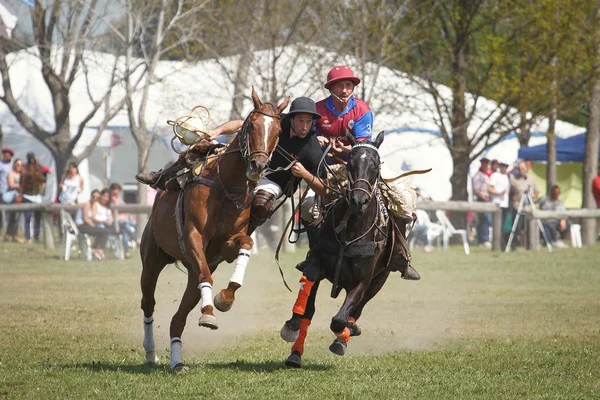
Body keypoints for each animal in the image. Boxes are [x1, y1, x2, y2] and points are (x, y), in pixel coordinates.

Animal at [141, 88, 290, 372]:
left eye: (278, 130)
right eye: (251, 124)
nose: (257, 166)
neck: (226, 185)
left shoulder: (226, 246)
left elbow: (245, 246)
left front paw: (225, 298)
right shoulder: (193, 238)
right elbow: (206, 278)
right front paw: (209, 314)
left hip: (191, 272)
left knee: (178, 317)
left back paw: (176, 362)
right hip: (152, 258)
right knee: (148, 303)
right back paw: (151, 353)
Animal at [280, 130, 396, 366]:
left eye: (376, 165)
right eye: (350, 163)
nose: (359, 200)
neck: (350, 232)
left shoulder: (363, 281)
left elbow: (339, 319)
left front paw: (344, 334)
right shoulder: (316, 262)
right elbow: (307, 308)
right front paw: (292, 329)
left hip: (380, 279)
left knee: (357, 310)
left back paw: (346, 335)